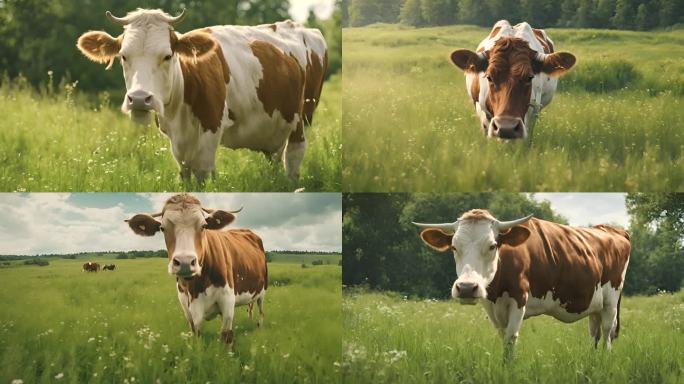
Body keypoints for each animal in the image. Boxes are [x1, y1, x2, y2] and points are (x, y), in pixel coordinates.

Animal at [77, 8, 328, 183]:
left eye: (167, 56)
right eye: (123, 56)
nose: (139, 98)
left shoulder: (212, 125)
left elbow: (204, 173)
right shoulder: (175, 138)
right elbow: (185, 174)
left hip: (302, 117)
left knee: (294, 157)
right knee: (274, 157)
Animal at [125, 194, 268, 344]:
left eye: (204, 226)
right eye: (162, 228)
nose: (185, 262)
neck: (195, 286)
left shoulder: (228, 301)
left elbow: (226, 336)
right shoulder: (187, 307)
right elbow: (197, 335)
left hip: (263, 289)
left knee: (261, 310)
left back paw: (259, 326)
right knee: (250, 307)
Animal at [412, 208, 632, 362]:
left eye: (492, 245)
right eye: (454, 247)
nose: (466, 287)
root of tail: (612, 229)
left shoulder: (519, 300)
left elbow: (510, 339)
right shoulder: (492, 307)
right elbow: (503, 337)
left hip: (611, 300)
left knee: (607, 331)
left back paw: (605, 359)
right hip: (594, 303)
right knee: (594, 332)